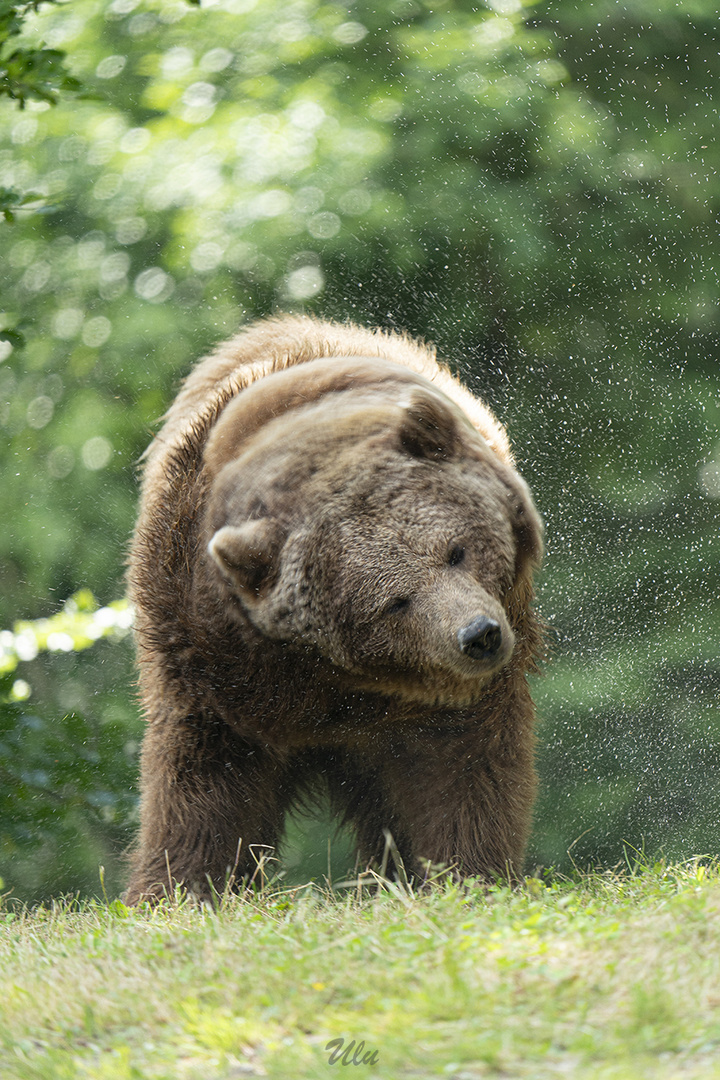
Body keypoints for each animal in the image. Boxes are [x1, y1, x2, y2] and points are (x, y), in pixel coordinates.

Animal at [124, 315, 544, 902]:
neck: (330, 682)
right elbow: (204, 782)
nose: (479, 635)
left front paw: (467, 871)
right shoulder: (207, 655)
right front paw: (178, 887)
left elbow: (462, 769)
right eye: (395, 601)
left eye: (455, 551)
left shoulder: (448, 699)